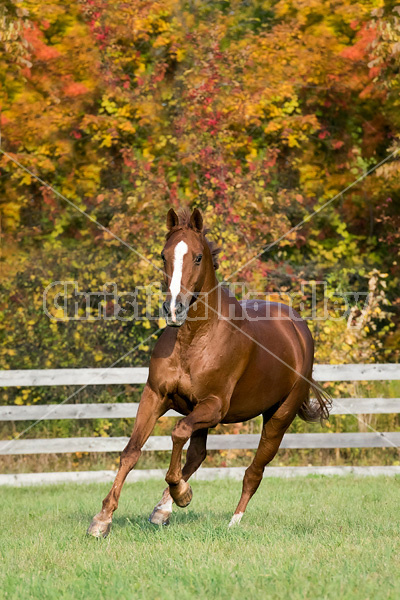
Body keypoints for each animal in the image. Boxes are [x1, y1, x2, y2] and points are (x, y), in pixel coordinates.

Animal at [88, 209, 332, 536]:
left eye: (198, 257)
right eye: (163, 255)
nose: (174, 309)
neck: (195, 338)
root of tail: (298, 328)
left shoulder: (215, 406)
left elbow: (177, 433)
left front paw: (182, 494)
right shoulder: (156, 396)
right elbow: (132, 451)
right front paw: (103, 519)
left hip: (278, 417)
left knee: (254, 471)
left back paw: (232, 520)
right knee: (197, 455)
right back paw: (163, 510)